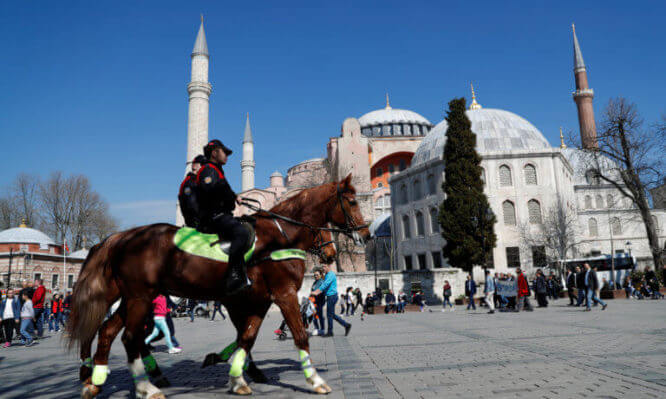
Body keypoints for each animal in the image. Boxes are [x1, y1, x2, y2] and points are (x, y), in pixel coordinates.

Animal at [67, 177, 368, 399]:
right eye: (352, 201)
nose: (364, 234)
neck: (278, 237)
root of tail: (122, 237)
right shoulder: (282, 294)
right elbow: (299, 335)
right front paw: (315, 380)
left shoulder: (257, 299)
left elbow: (247, 337)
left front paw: (237, 377)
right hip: (140, 297)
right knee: (130, 338)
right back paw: (144, 386)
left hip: (133, 298)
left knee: (108, 331)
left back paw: (96, 380)